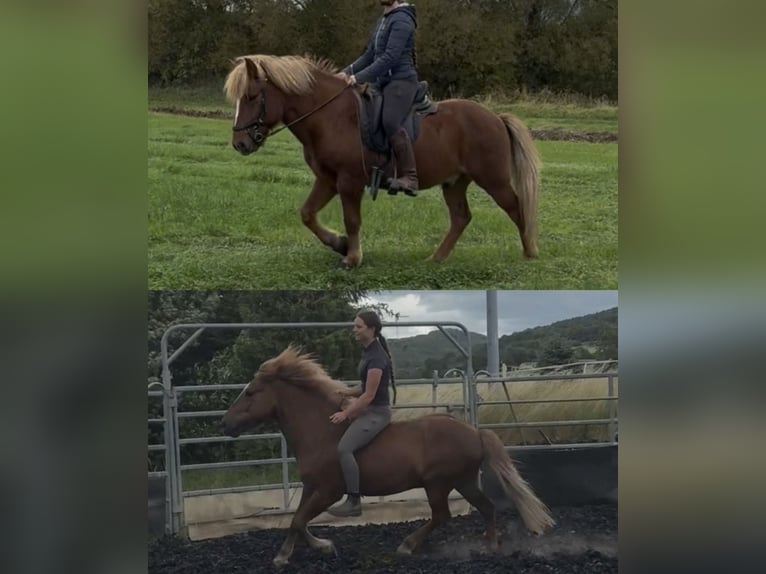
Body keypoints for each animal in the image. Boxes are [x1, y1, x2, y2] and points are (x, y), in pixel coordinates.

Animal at [221, 346, 554, 568]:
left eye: (250, 392)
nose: (226, 424)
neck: (319, 431)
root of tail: (474, 432)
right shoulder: (310, 487)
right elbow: (297, 521)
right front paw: (310, 549)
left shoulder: (330, 490)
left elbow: (299, 519)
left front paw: (296, 553)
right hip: (464, 481)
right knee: (486, 507)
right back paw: (489, 547)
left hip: (438, 483)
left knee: (442, 515)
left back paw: (407, 546)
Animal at [224, 55, 540, 268]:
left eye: (252, 96)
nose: (240, 144)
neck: (330, 117)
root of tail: (495, 117)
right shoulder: (327, 179)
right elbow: (307, 214)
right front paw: (339, 245)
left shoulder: (349, 181)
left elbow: (351, 219)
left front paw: (352, 257)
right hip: (454, 183)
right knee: (461, 217)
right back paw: (436, 258)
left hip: (493, 179)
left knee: (516, 207)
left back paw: (530, 252)